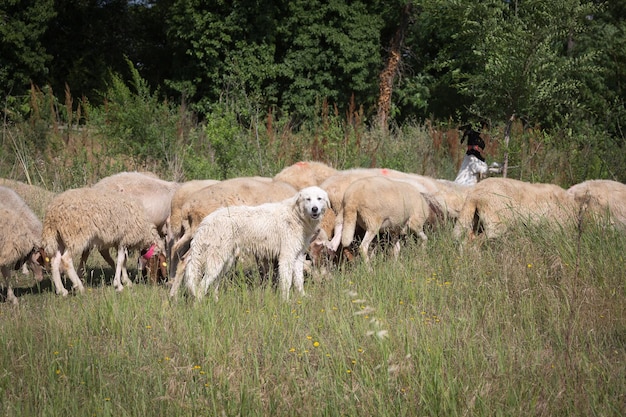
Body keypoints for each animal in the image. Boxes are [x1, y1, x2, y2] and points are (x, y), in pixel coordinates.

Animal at [182, 185, 330, 300]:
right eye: (308, 199)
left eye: (319, 199)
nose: (315, 209)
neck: (297, 216)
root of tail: (207, 220)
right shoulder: (286, 257)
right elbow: (287, 283)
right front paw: (286, 302)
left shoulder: (298, 256)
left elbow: (299, 281)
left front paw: (302, 297)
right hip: (217, 261)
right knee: (201, 287)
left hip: (226, 261)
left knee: (213, 286)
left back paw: (216, 303)